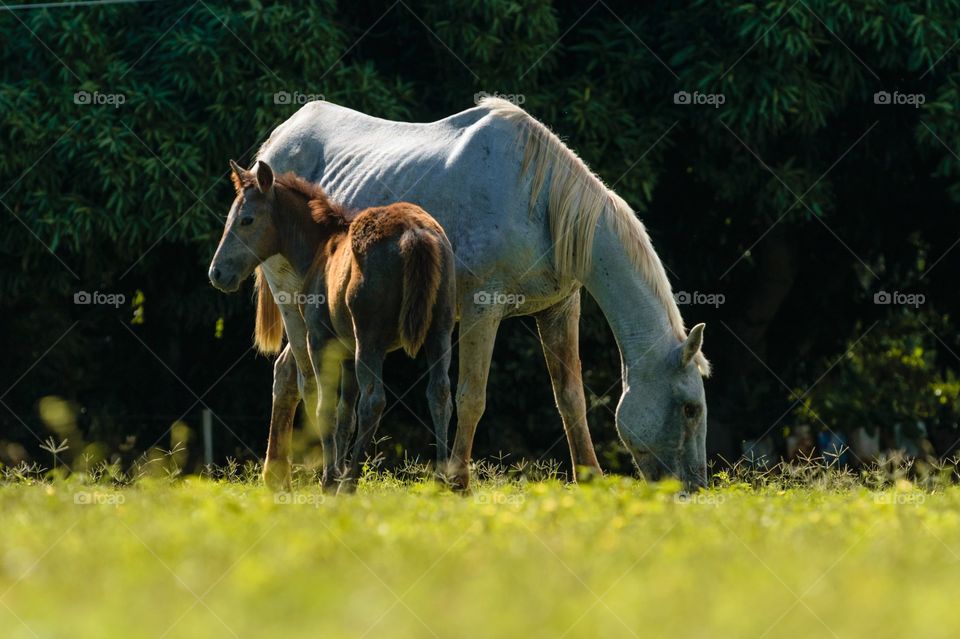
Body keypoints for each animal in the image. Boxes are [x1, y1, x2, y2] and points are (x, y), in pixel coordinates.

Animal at [209, 160, 456, 493]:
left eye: (246, 219)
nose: (217, 273)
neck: (318, 247)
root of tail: (414, 234)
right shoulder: (347, 352)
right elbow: (344, 414)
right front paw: (335, 471)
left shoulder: (320, 340)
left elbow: (324, 406)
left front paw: (329, 479)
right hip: (439, 331)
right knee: (439, 393)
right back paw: (448, 481)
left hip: (371, 340)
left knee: (374, 401)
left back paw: (349, 482)